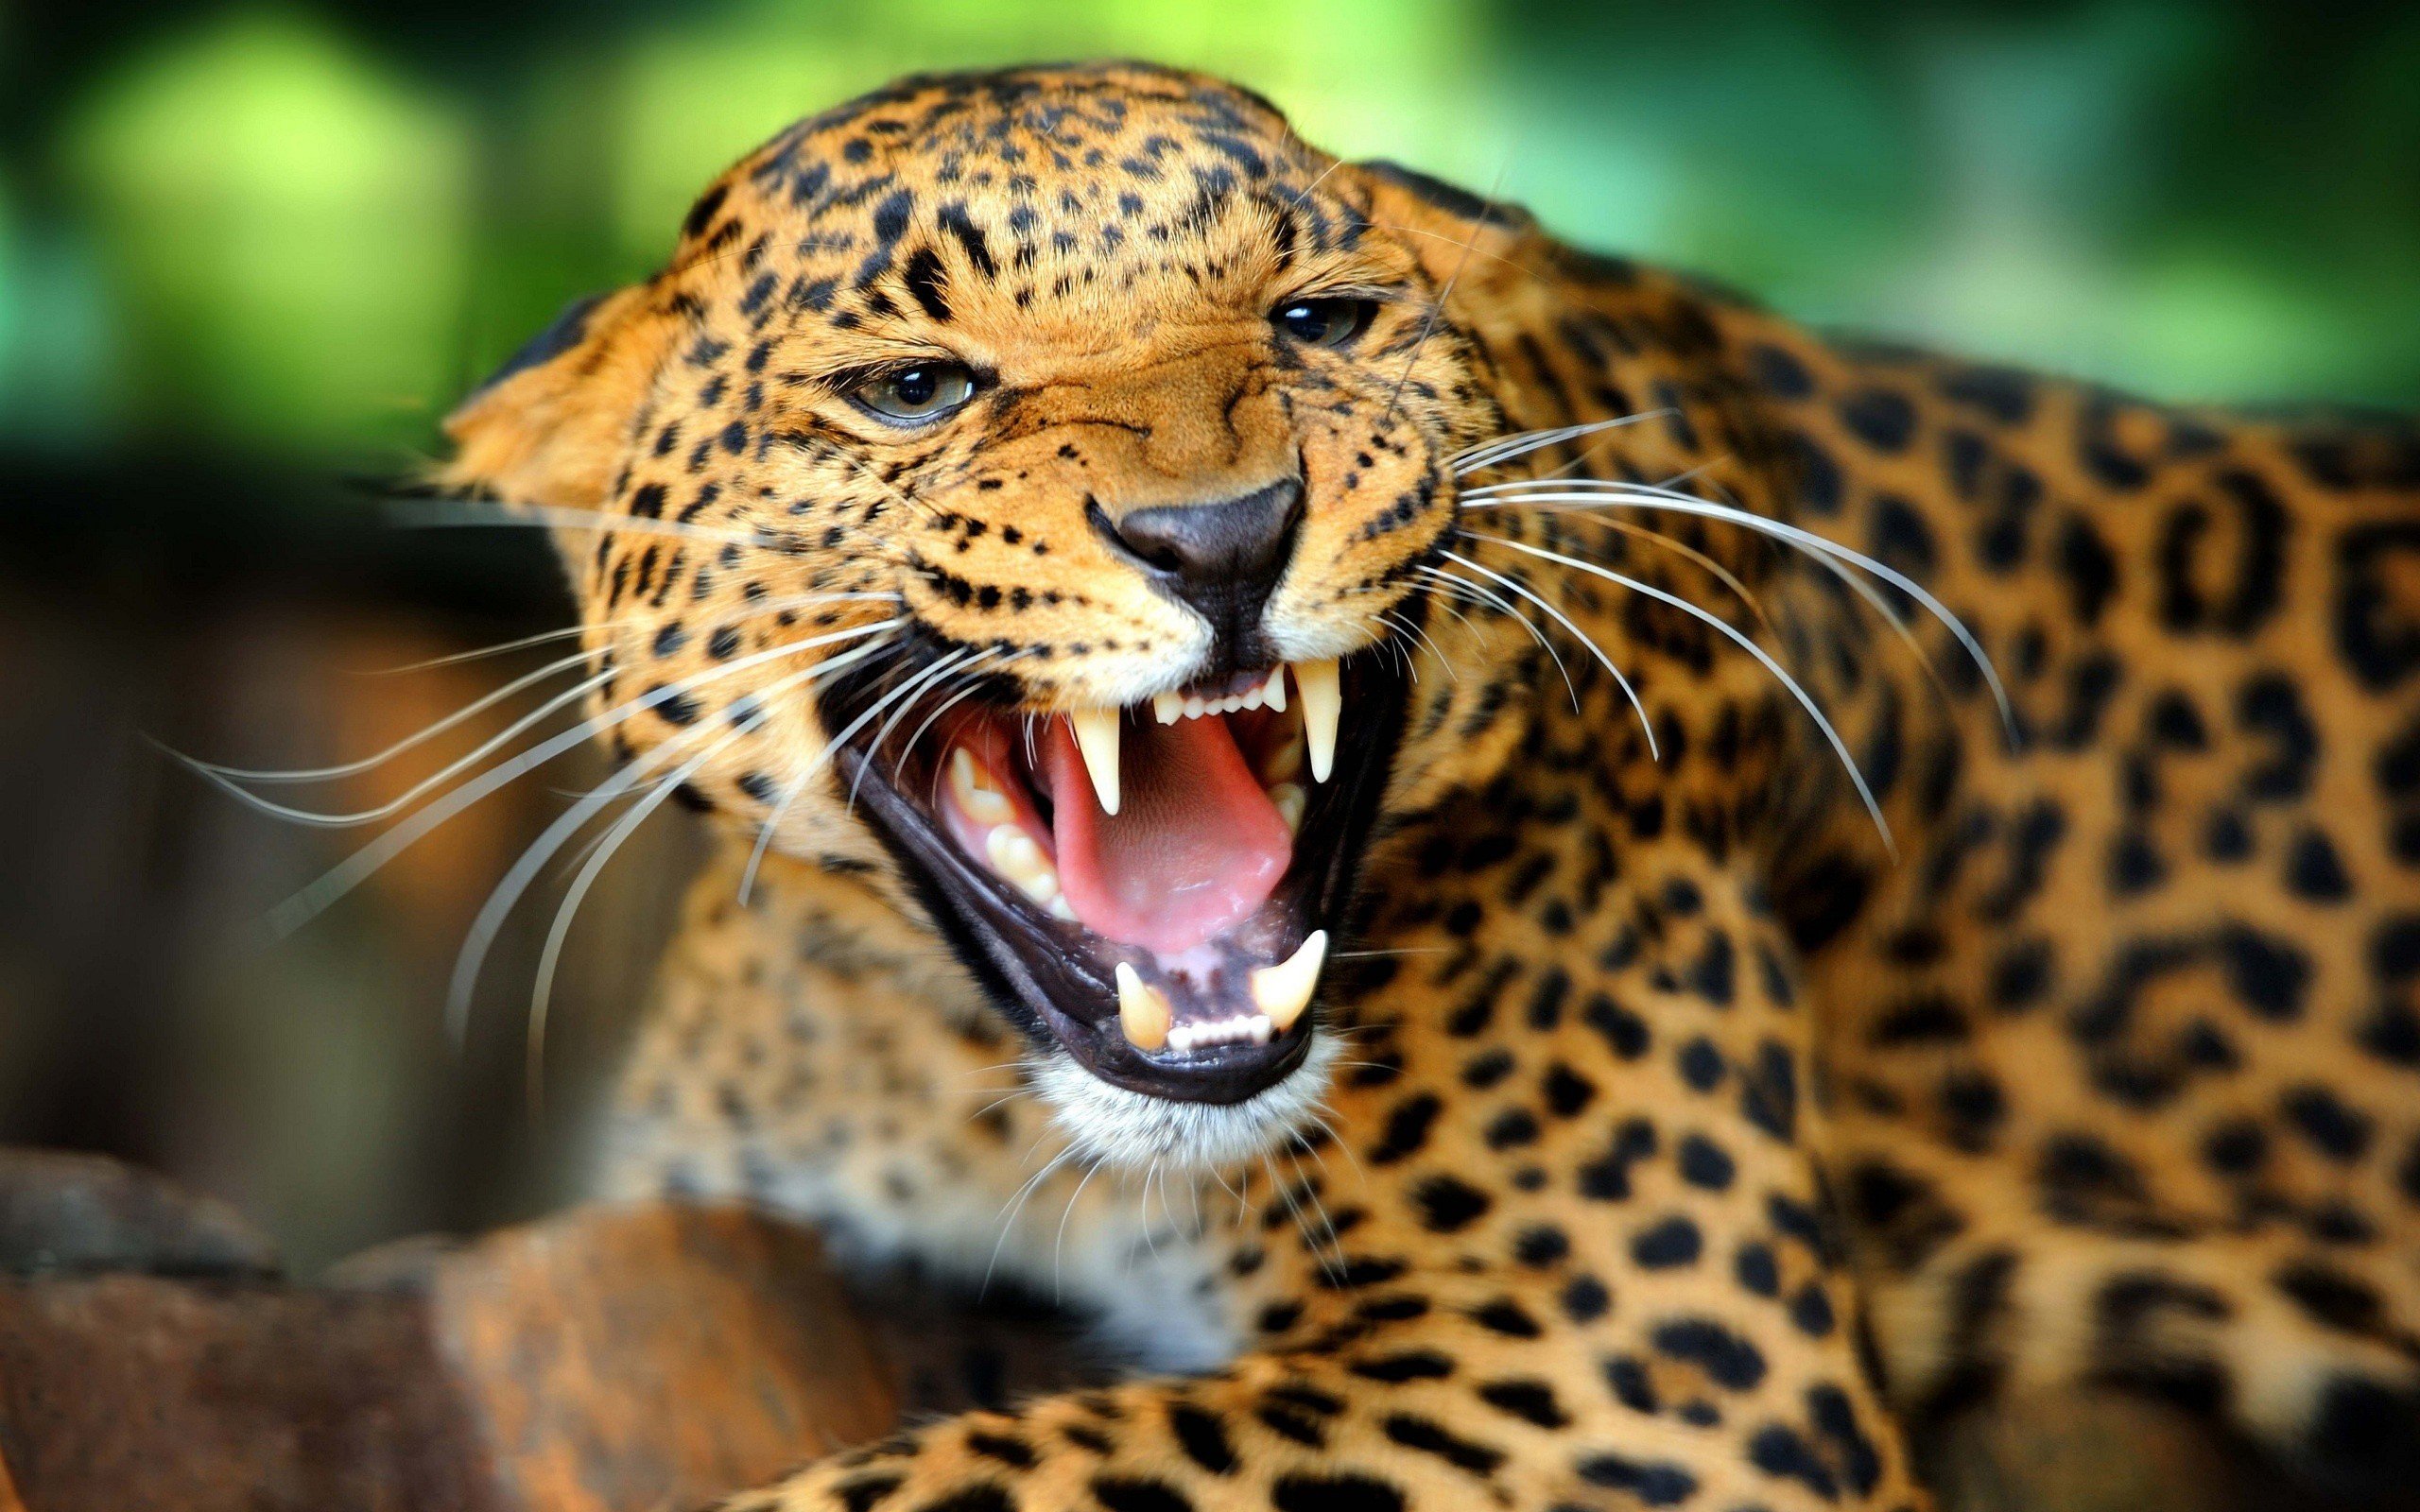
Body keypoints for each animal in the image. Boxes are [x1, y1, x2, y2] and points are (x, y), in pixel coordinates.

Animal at [432, 60, 2420, 1512]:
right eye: (916, 388)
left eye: (1320, 320)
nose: (1223, 536)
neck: (959, 1085)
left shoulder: (1635, 1367)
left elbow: (967, 1479)